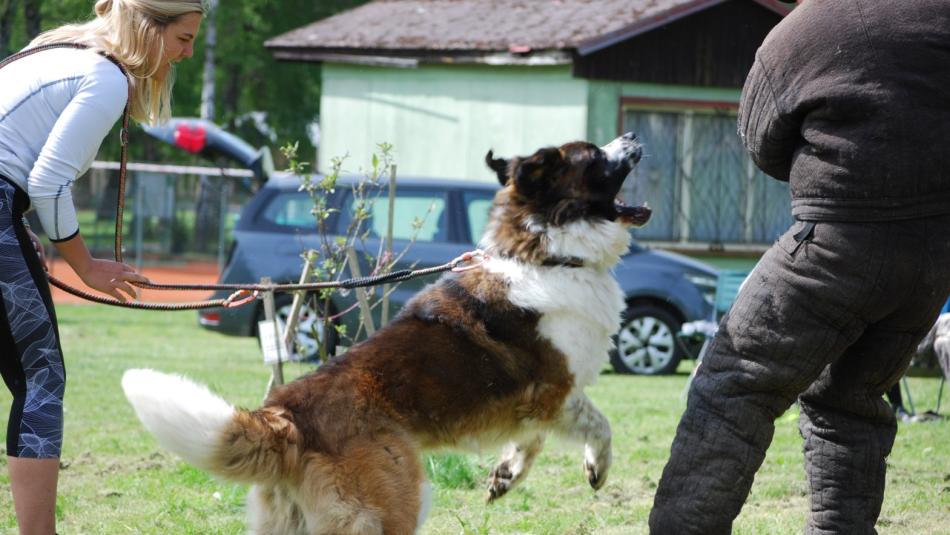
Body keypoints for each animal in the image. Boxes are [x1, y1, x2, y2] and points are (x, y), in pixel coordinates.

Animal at [122, 132, 652, 532]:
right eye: (594, 156)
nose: (631, 135)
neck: (546, 254)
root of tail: (286, 415)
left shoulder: (533, 405)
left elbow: (532, 440)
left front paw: (505, 475)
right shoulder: (555, 391)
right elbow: (599, 425)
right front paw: (597, 467)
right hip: (395, 500)